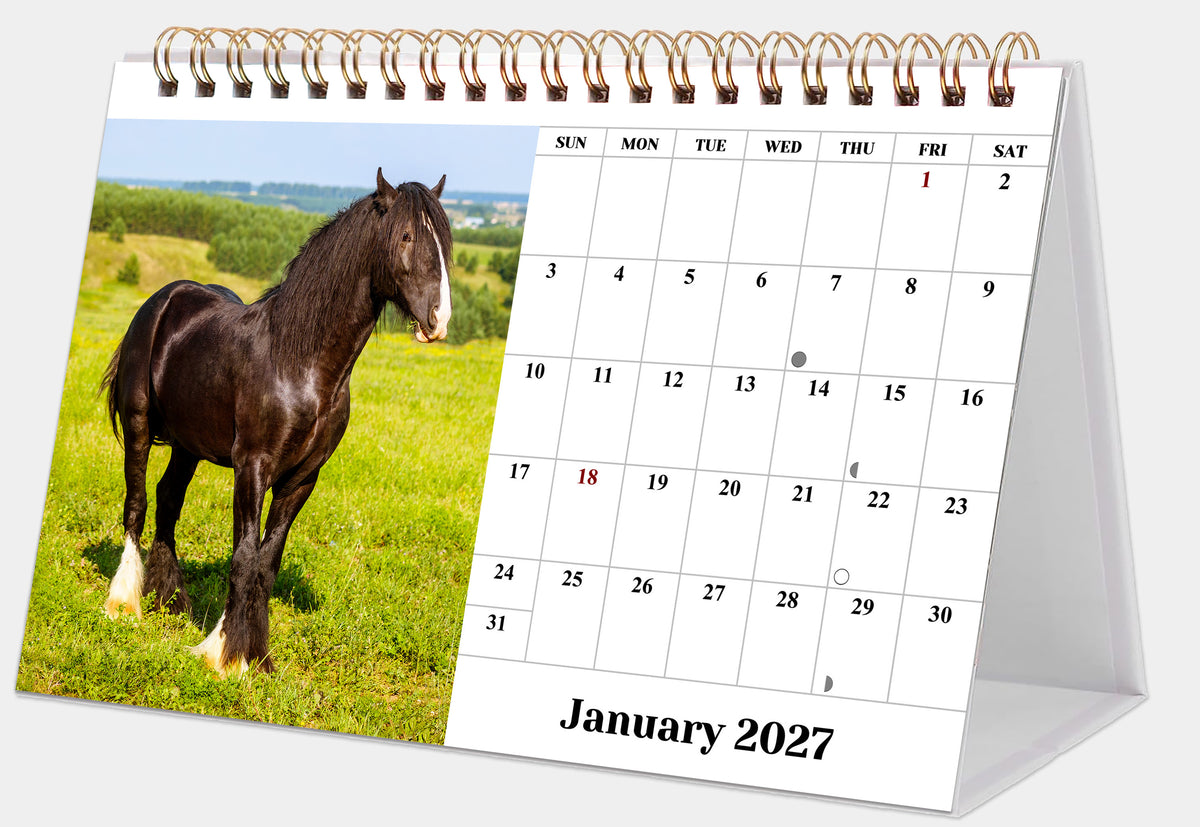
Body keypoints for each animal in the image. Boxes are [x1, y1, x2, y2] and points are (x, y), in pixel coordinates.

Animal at [99, 169, 452, 677]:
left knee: (168, 501)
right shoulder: (253, 468)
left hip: (188, 445)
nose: (438, 320)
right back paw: (124, 602)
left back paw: (171, 601)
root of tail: (164, 299)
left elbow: (267, 562)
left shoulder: (302, 480)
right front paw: (224, 655)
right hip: (139, 426)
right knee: (137, 503)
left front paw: (257, 657)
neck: (301, 363)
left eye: (444, 241)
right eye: (406, 236)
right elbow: (244, 558)